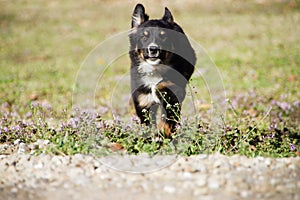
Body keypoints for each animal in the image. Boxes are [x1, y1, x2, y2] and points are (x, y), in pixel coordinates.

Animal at [129, 3, 197, 138]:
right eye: (144, 36)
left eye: (163, 36)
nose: (153, 49)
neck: (154, 70)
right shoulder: (142, 100)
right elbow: (148, 126)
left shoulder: (172, 94)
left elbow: (167, 122)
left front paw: (163, 135)